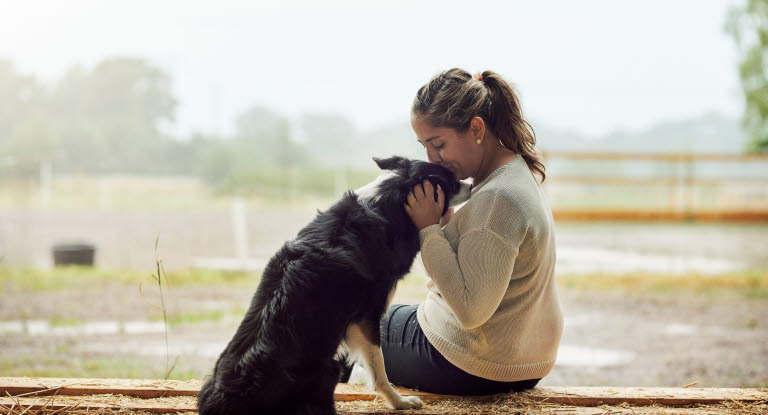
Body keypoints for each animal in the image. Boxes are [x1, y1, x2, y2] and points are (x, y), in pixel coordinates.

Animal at [196, 157, 474, 415]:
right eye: (450, 180)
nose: (471, 185)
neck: (388, 202)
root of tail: (225, 399)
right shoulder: (368, 315)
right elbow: (379, 366)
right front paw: (400, 402)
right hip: (329, 368)